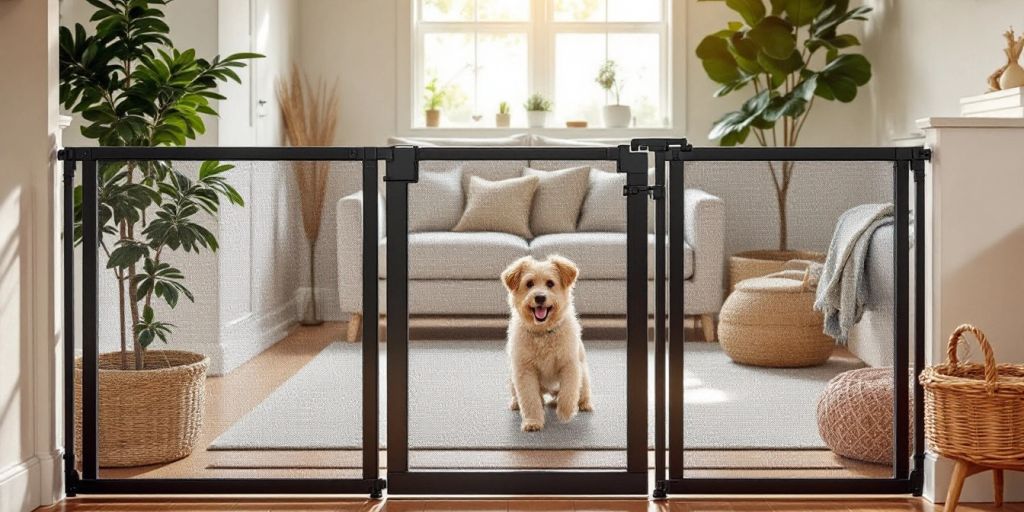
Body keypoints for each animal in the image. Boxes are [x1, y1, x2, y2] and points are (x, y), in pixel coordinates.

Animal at [497, 253, 593, 430]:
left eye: (550, 283)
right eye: (529, 283)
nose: (540, 297)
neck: (543, 333)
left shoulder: (570, 365)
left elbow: (569, 392)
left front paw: (565, 412)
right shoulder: (524, 370)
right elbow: (530, 399)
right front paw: (533, 421)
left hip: (583, 375)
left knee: (581, 392)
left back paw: (583, 404)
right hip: (512, 377)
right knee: (526, 396)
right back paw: (516, 403)